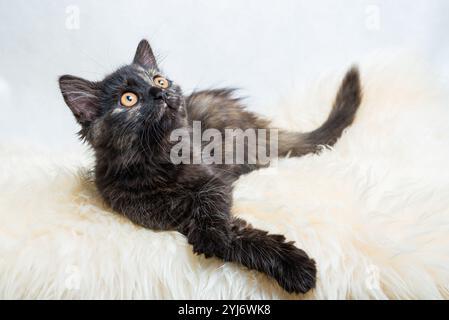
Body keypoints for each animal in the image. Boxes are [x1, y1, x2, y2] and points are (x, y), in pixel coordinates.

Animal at [58, 38, 360, 294]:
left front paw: (215, 236)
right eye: (128, 98)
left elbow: (214, 209)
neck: (158, 161)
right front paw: (293, 267)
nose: (159, 92)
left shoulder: (213, 181)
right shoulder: (164, 218)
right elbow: (238, 239)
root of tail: (259, 126)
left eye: (160, 80)